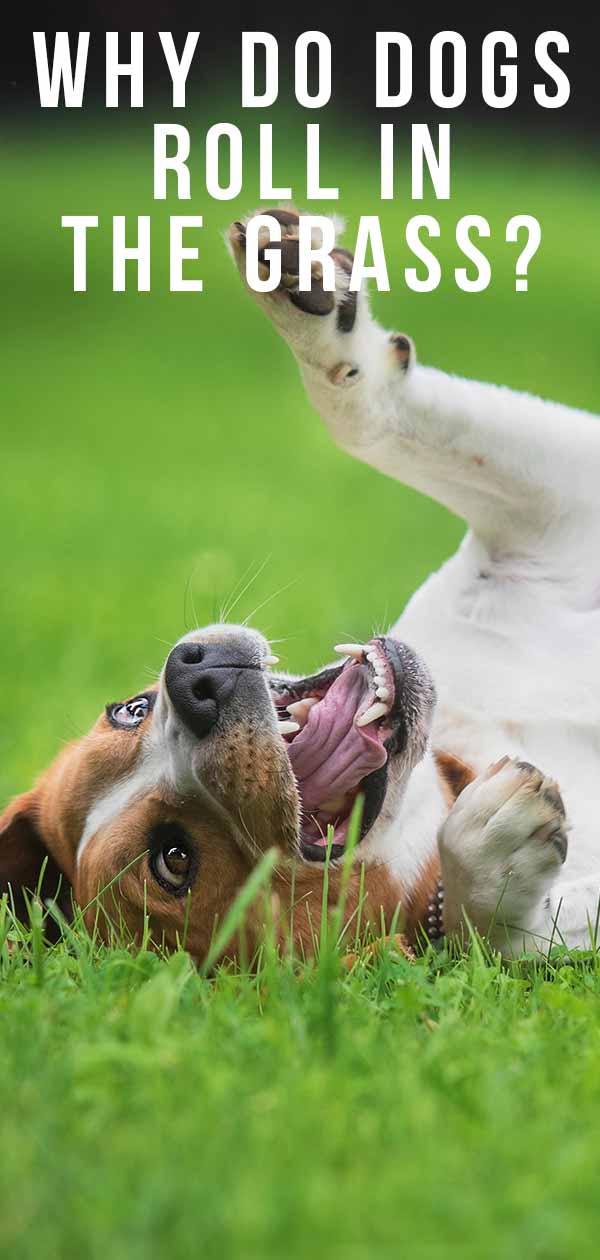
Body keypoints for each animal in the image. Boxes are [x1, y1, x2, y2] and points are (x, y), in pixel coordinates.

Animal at [2, 206, 597, 957]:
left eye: (129, 711)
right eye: (175, 859)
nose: (196, 678)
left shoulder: (561, 494)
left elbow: (363, 420)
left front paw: (309, 292)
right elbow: (496, 938)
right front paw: (487, 876)